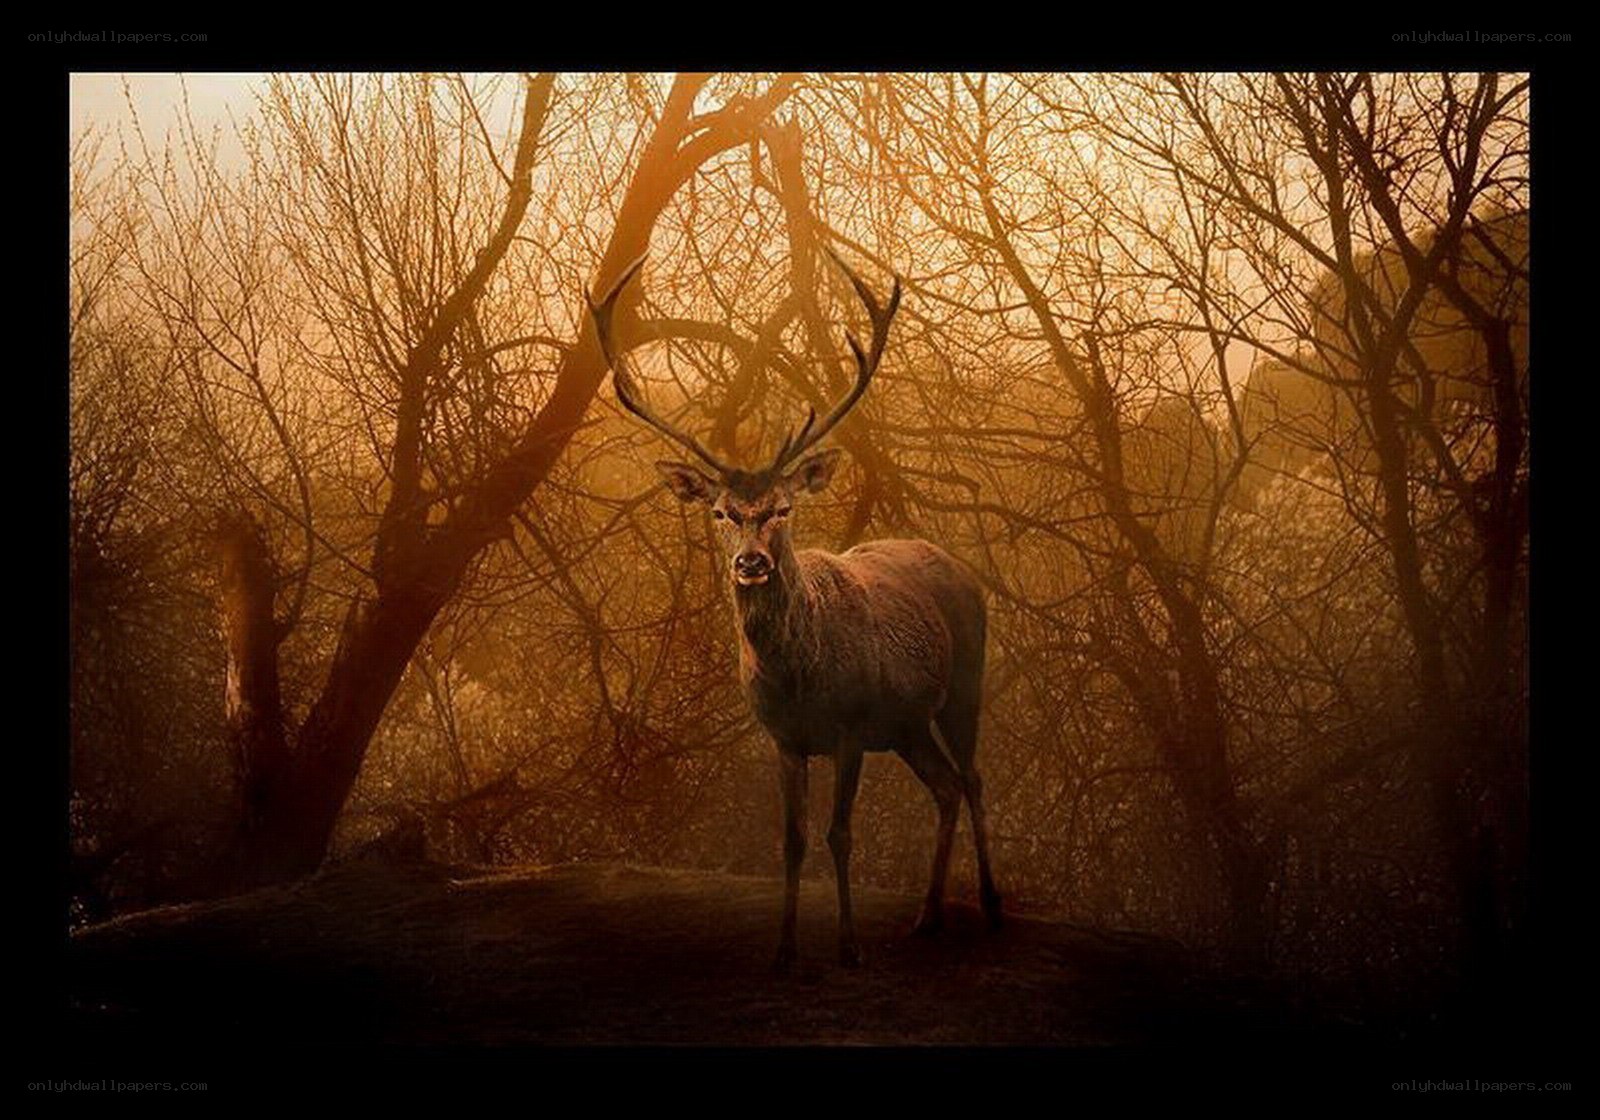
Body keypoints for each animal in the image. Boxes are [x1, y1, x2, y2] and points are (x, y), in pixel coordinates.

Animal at [587, 250, 1001, 970]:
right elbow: (793, 840)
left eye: (782, 507)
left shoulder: (851, 726)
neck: (801, 679)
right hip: (908, 725)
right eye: (721, 512)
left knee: (972, 778)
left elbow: (840, 834)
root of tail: (955, 563)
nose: (751, 562)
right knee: (946, 786)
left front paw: (849, 947)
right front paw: (783, 951)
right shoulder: (784, 739)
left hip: (963, 684)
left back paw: (994, 908)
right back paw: (926, 918)